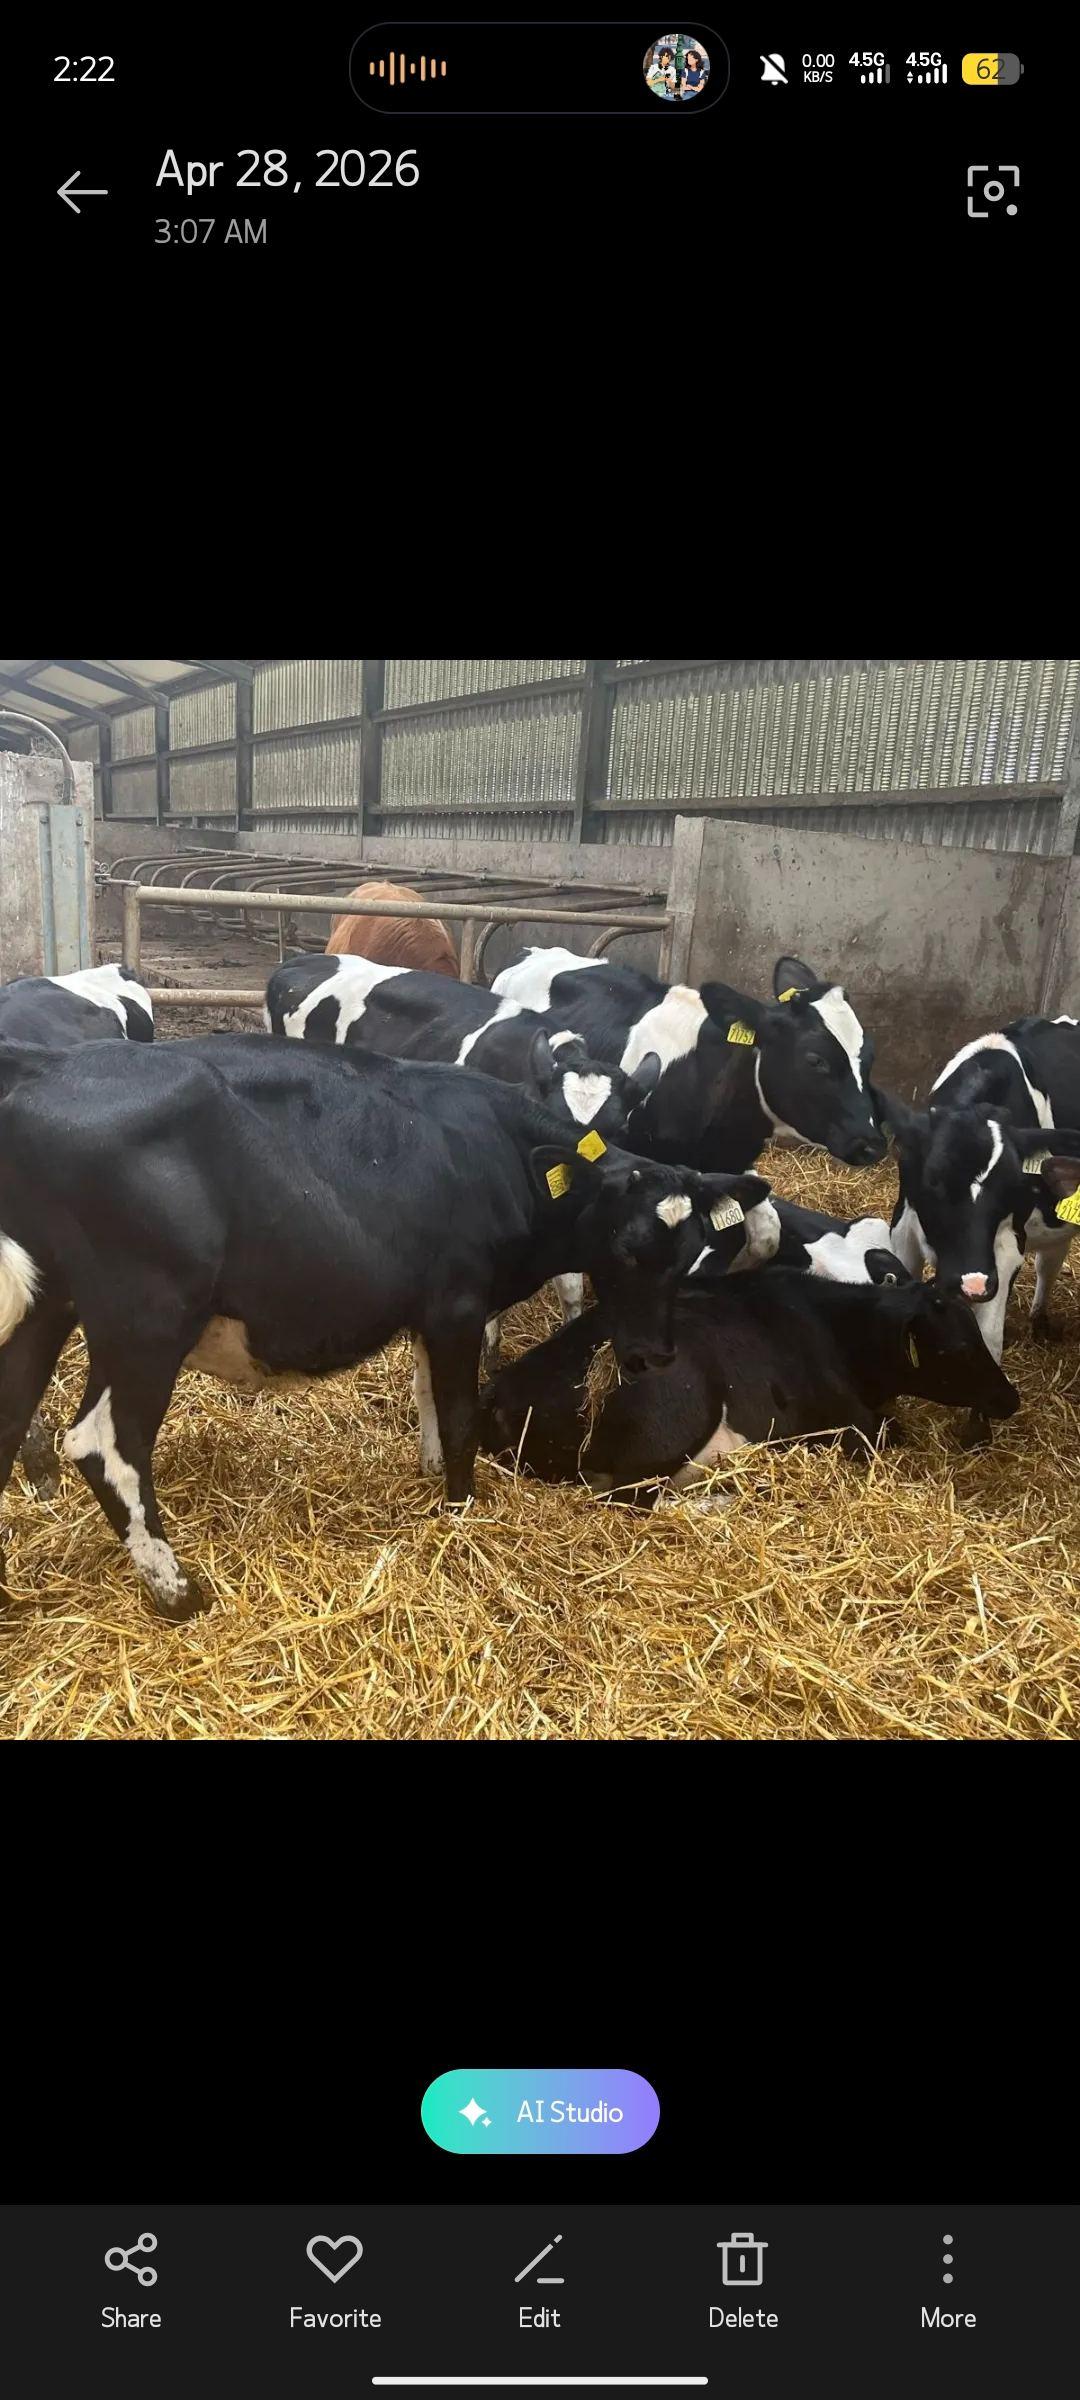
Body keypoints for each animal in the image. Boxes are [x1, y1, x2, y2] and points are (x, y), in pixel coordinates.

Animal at [0, 1034, 766, 1618]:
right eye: (625, 1246)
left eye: (690, 1250)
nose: (651, 1355)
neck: (499, 1155)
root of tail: (46, 1067)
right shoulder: (458, 1302)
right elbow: (458, 1413)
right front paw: (461, 1512)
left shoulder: (432, 1310)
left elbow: (427, 1399)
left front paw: (430, 1479)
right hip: (147, 1319)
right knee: (107, 1445)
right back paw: (179, 1591)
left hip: (45, 1306)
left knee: (11, 1419)